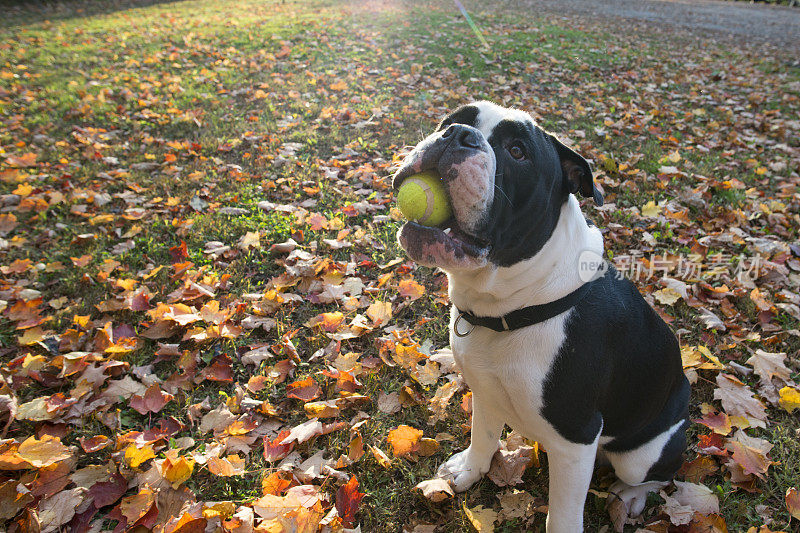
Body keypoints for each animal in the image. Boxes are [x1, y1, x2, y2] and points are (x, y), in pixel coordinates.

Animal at [392, 102, 688, 528]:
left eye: (518, 152)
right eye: (451, 120)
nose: (457, 134)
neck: (511, 306)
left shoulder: (575, 438)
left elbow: (562, 515)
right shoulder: (484, 389)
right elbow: (482, 434)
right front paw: (470, 469)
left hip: (641, 454)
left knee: (658, 475)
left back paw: (630, 495)